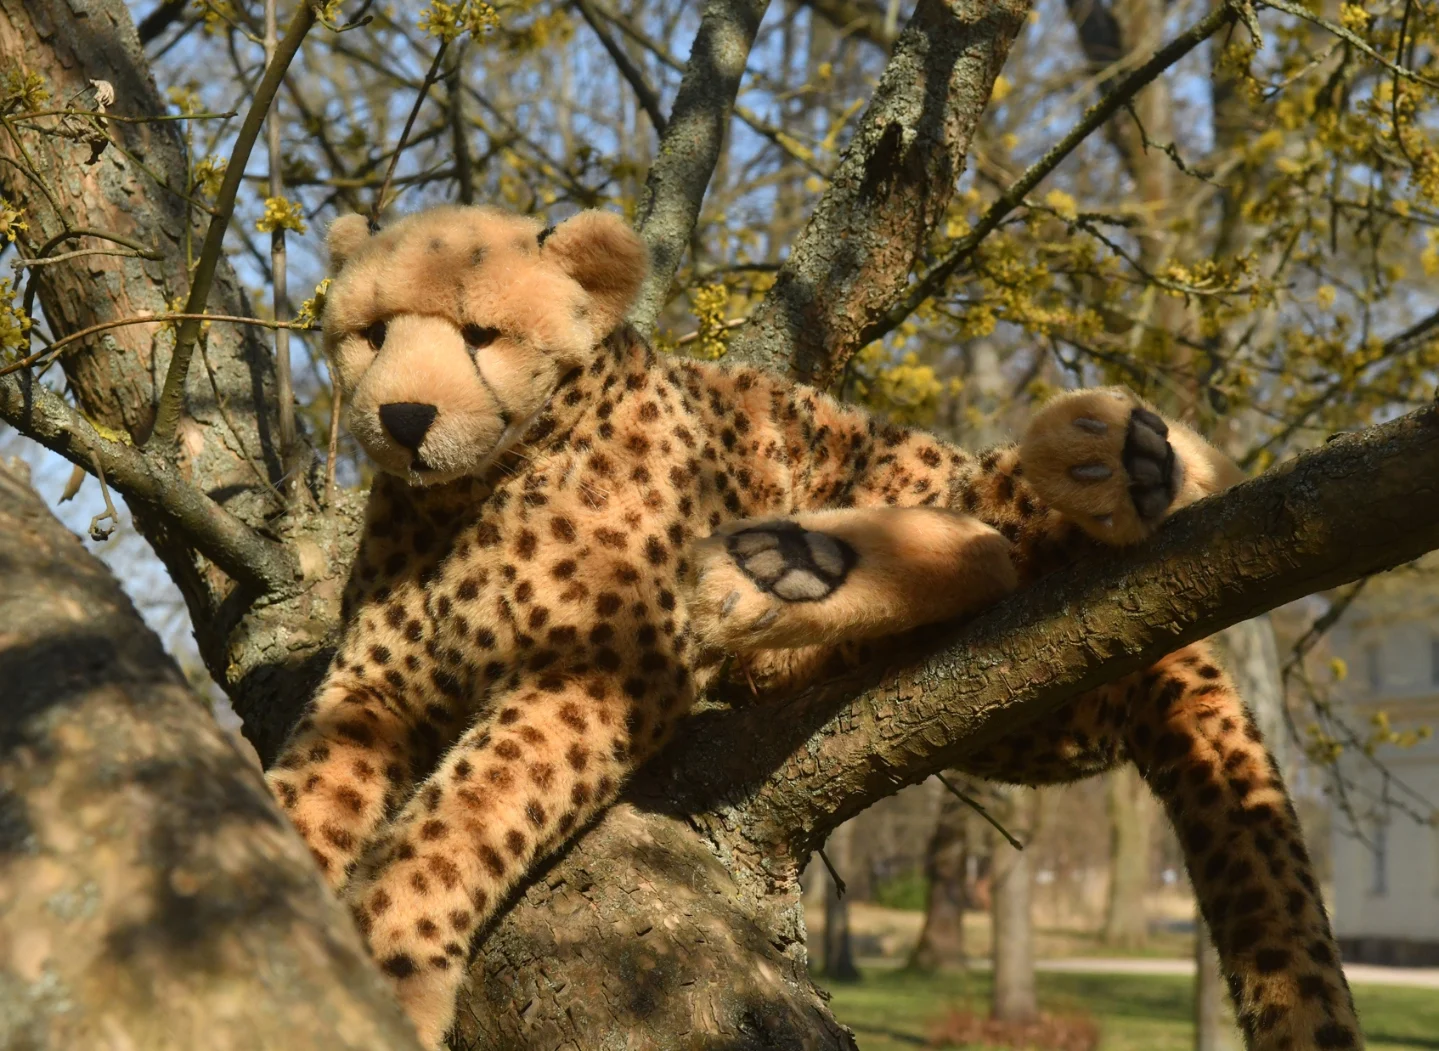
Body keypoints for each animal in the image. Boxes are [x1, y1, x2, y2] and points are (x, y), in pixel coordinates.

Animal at [262, 202, 1362, 1051]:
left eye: (481, 334)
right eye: (370, 333)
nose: (400, 416)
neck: (470, 494)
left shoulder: (604, 668)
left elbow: (463, 816)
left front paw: (388, 957)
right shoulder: (375, 681)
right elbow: (310, 788)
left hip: (939, 494)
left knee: (1017, 522)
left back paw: (1120, 459)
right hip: (1023, 709)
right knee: (978, 571)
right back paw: (783, 569)